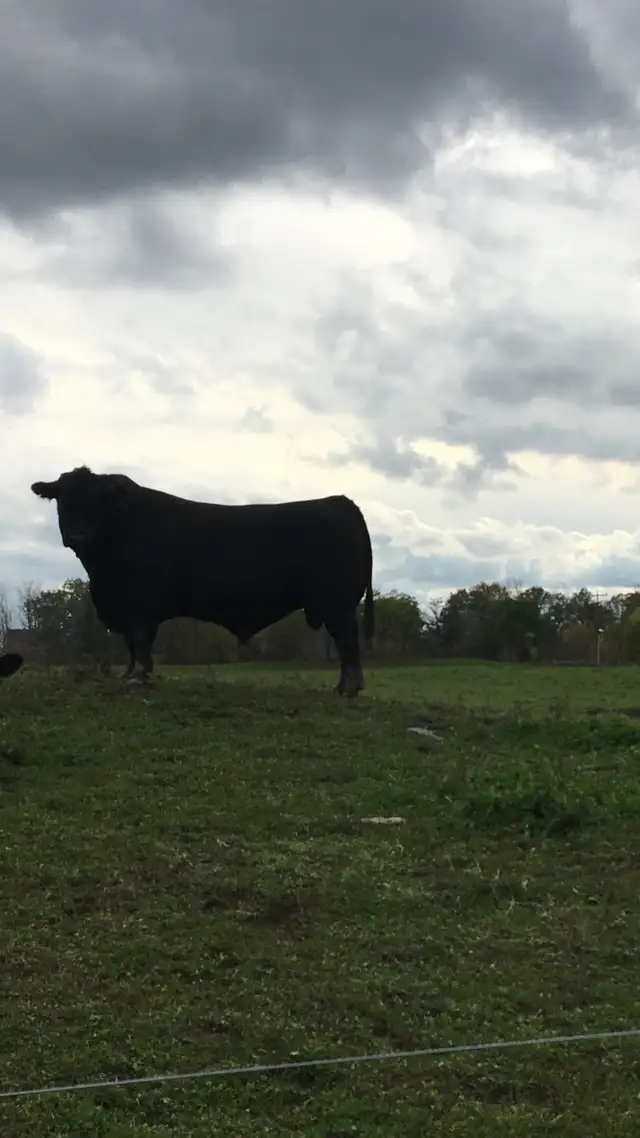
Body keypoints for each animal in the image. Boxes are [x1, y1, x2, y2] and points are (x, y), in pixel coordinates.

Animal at [31, 467, 375, 697]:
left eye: (96, 501)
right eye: (62, 500)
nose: (77, 534)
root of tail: (342, 502)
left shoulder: (141, 602)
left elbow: (140, 640)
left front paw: (138, 677)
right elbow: (130, 644)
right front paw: (128, 674)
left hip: (338, 603)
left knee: (348, 642)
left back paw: (348, 689)